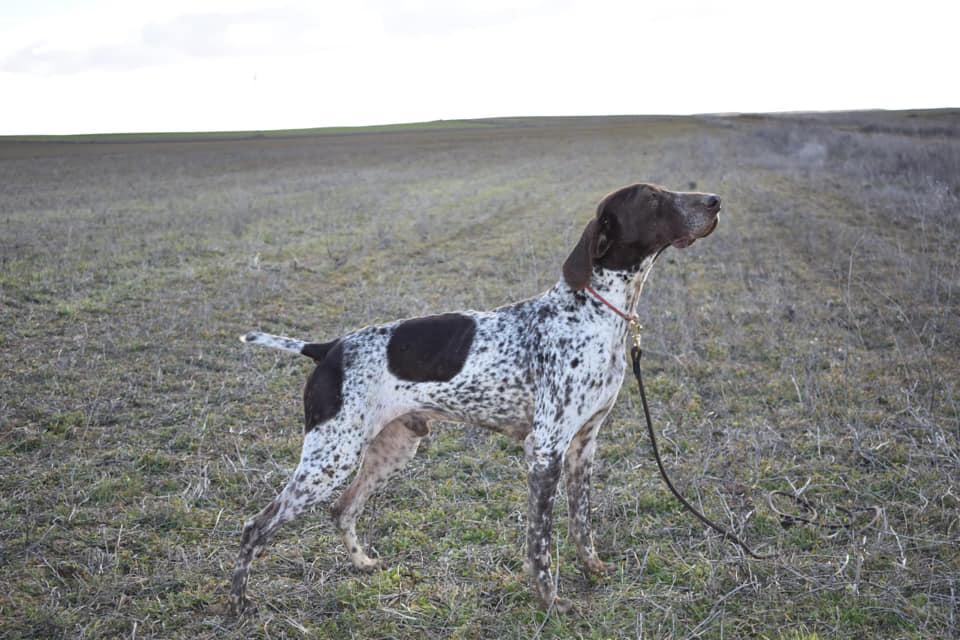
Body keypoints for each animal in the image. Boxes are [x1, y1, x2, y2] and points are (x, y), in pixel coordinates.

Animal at [232, 182, 720, 612]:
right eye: (653, 198)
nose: (715, 200)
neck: (594, 314)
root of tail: (329, 347)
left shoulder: (584, 446)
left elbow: (581, 524)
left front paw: (593, 571)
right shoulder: (545, 451)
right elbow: (540, 544)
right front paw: (550, 602)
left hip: (392, 447)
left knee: (342, 509)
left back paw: (363, 564)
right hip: (330, 458)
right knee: (255, 527)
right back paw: (239, 603)